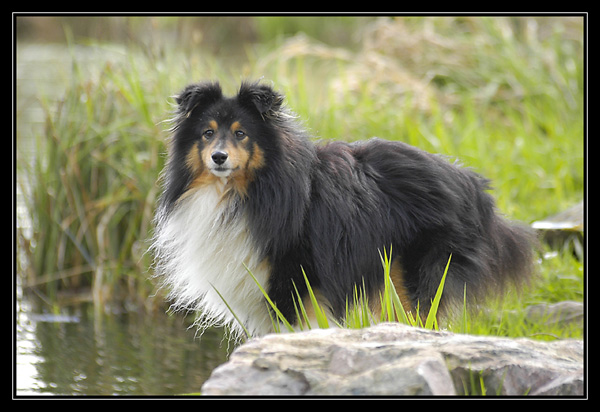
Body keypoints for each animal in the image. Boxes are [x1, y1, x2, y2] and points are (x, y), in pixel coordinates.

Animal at [152, 79, 536, 338]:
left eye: (241, 134)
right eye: (207, 133)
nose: (218, 158)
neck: (241, 192)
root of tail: (471, 182)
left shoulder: (291, 280)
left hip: (417, 271)